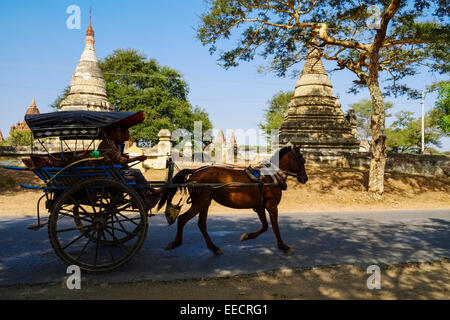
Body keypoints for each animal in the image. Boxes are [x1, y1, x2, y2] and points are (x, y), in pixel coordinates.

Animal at [156, 147, 308, 255]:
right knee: (182, 219)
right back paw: (175, 243)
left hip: (205, 202)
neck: (271, 176)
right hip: (200, 202)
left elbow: (265, 226)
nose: (305, 178)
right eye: (302, 159)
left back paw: (214, 247)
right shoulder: (271, 205)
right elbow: (275, 227)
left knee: (201, 224)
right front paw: (283, 246)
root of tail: (195, 172)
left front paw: (247, 236)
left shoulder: (260, 206)